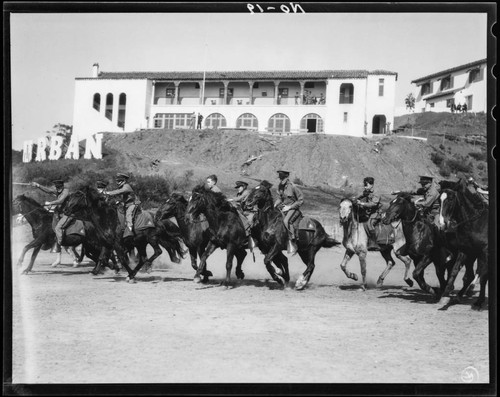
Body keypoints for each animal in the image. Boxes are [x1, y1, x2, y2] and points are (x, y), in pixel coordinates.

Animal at [438, 177, 488, 310]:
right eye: (439, 199)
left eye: (451, 199)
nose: (442, 224)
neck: (475, 223)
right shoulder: (465, 251)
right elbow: (455, 271)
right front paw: (445, 296)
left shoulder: (484, 253)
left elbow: (483, 276)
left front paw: (479, 302)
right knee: (469, 276)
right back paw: (459, 295)